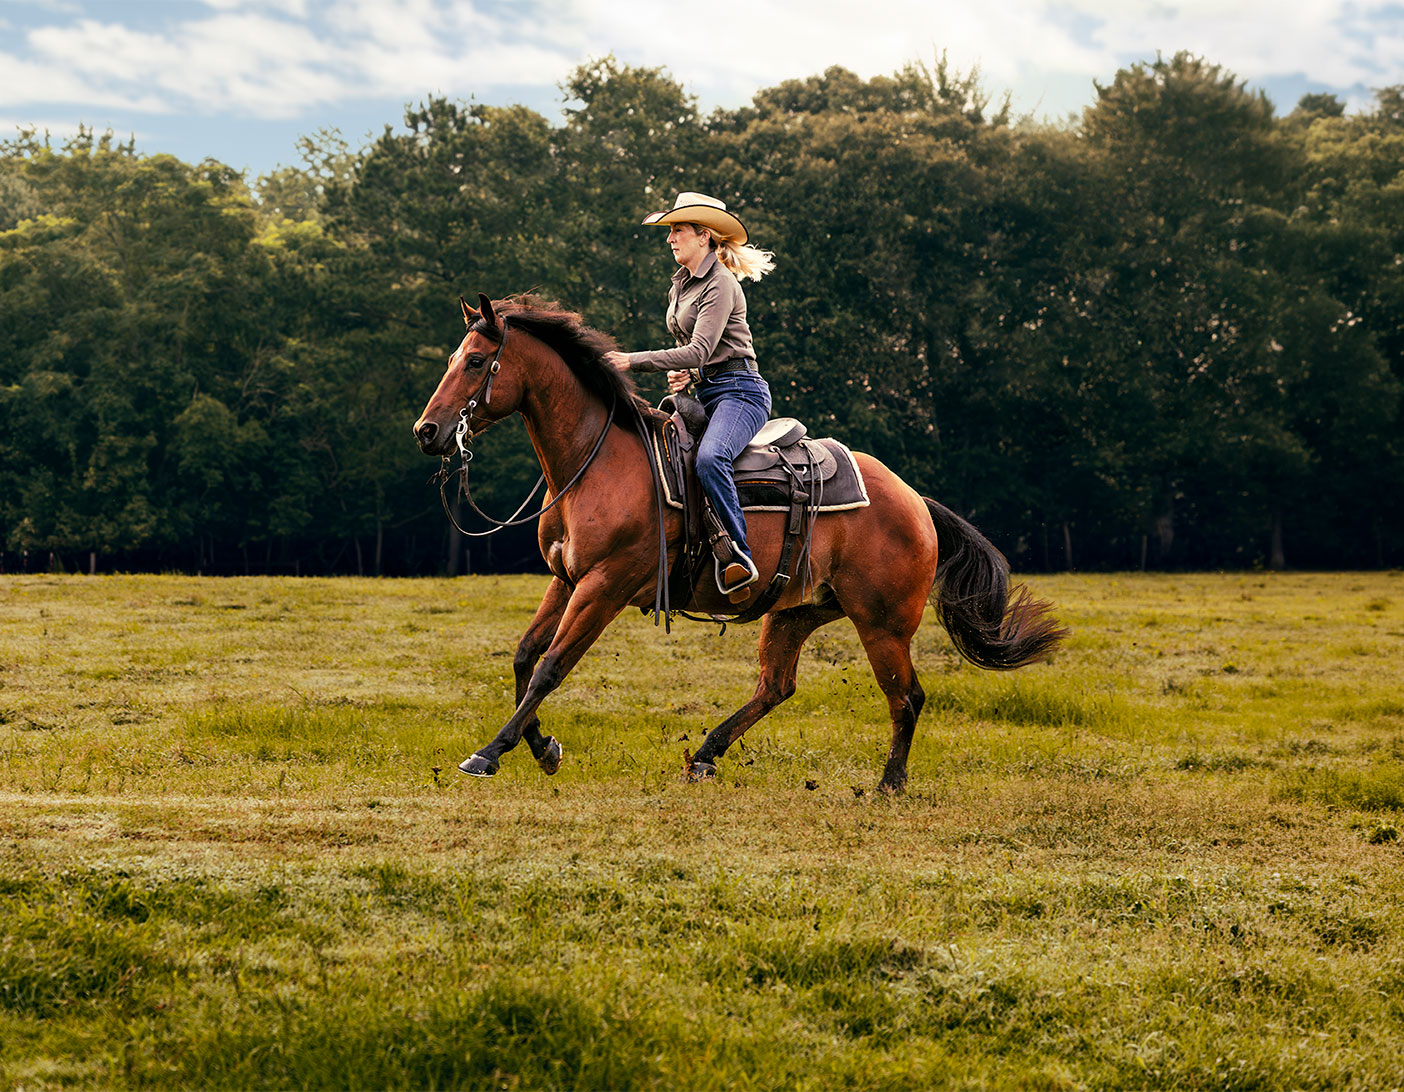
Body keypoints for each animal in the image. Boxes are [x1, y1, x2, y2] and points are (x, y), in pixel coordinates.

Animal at [412, 293, 1067, 793]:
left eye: (476, 361)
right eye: (453, 358)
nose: (428, 431)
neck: (598, 464)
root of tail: (914, 500)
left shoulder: (605, 586)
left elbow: (551, 666)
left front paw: (489, 753)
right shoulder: (566, 578)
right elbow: (525, 658)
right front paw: (543, 746)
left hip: (882, 623)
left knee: (906, 697)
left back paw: (889, 783)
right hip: (797, 612)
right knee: (776, 686)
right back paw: (705, 754)